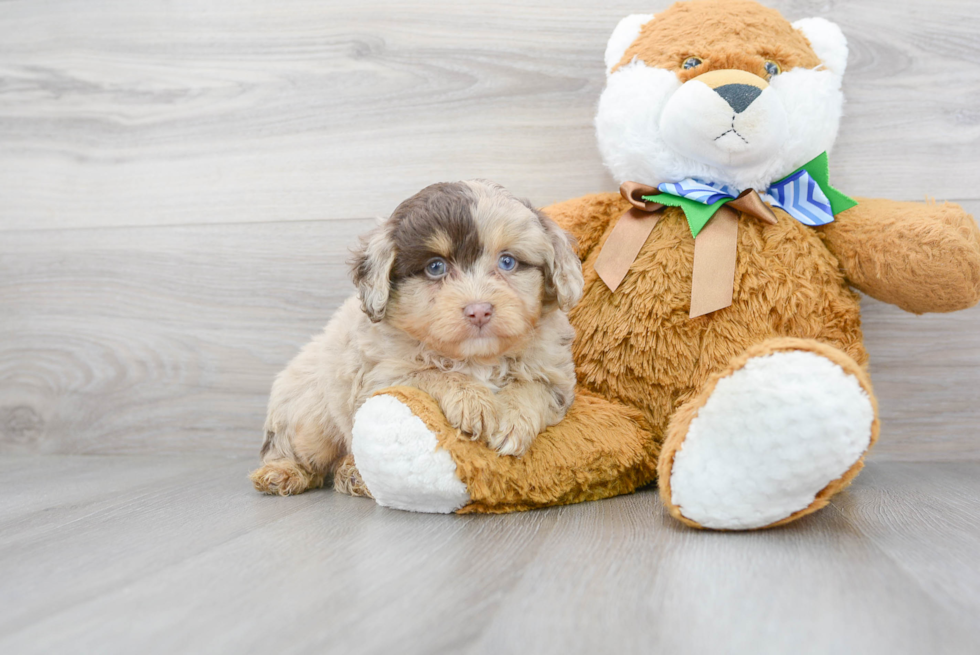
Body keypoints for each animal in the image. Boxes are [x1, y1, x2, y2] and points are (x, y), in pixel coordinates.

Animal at [251, 179, 580, 498]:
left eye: (508, 262)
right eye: (435, 267)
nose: (479, 311)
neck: (476, 358)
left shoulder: (556, 374)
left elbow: (533, 387)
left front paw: (514, 419)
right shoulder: (382, 376)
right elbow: (430, 373)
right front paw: (471, 398)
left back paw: (352, 473)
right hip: (307, 417)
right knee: (293, 450)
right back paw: (282, 473)